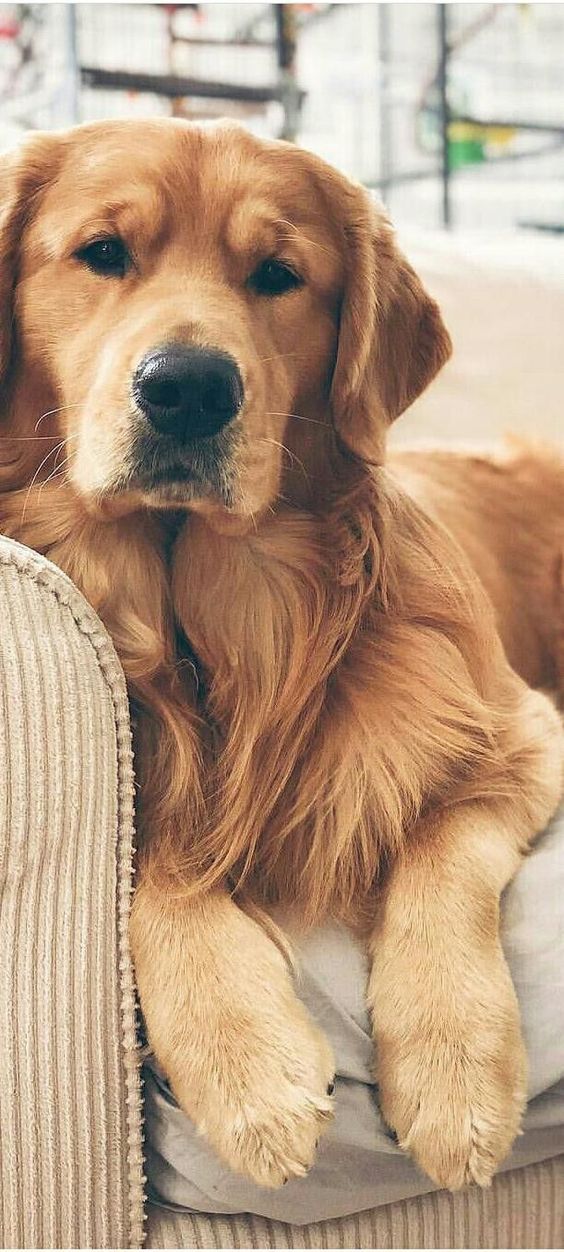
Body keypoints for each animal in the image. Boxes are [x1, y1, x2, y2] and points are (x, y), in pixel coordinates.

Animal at [0, 119, 561, 1191]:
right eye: (103, 252)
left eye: (277, 274)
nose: (187, 388)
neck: (218, 622)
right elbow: (149, 859)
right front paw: (243, 1059)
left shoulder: (526, 735)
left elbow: (442, 846)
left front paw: (455, 1073)